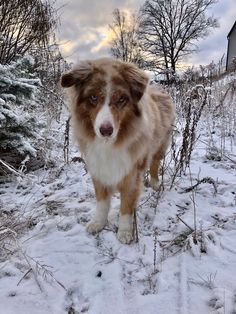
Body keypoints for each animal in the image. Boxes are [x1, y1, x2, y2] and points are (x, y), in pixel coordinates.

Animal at [60, 57, 175, 245]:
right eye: (93, 97)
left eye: (121, 99)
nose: (106, 130)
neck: (109, 144)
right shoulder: (98, 169)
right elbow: (102, 202)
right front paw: (98, 222)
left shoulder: (131, 174)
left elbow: (126, 206)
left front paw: (125, 232)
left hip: (161, 143)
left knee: (155, 164)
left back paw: (155, 183)